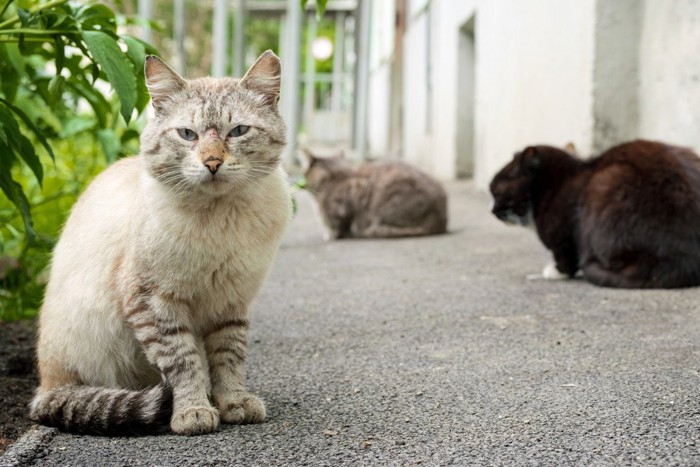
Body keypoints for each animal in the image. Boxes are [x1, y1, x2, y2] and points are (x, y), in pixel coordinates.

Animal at [28, 50, 292, 436]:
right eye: (187, 134)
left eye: (238, 131)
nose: (212, 162)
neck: (219, 220)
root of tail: (44, 386)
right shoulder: (153, 301)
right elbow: (185, 363)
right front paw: (194, 411)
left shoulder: (231, 302)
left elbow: (228, 359)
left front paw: (234, 403)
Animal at [304, 152, 448, 239]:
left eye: (305, 173)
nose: (303, 183)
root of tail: (441, 219)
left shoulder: (352, 196)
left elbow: (340, 224)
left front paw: (333, 235)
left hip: (383, 205)